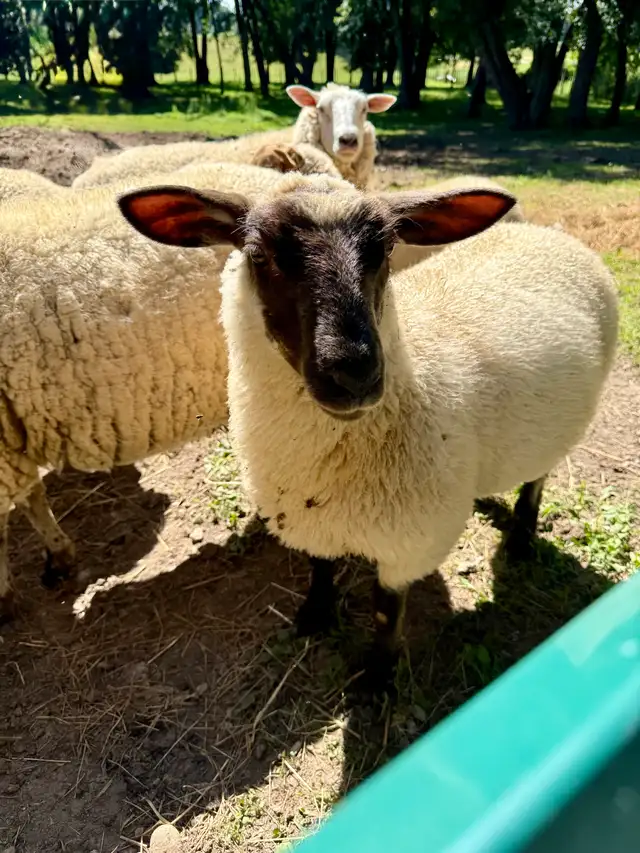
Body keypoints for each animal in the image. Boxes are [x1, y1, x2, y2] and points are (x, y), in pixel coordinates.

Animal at [119, 174, 618, 688]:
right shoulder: (310, 518)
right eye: (259, 254)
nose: (354, 372)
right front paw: (315, 615)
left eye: (385, 249)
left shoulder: (409, 545)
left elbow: (385, 612)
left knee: (538, 477)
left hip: (563, 424)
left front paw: (377, 677)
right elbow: (320, 570)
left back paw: (520, 536)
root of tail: (545, 232)